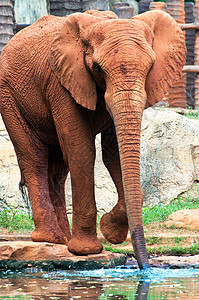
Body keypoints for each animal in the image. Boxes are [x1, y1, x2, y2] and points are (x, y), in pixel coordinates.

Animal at [0, 9, 186, 268]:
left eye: (150, 67)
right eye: (97, 68)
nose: (145, 267)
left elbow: (113, 153)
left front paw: (110, 232)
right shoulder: (62, 83)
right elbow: (81, 149)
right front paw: (87, 250)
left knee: (58, 169)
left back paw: (63, 241)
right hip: (8, 96)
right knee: (34, 158)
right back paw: (51, 238)